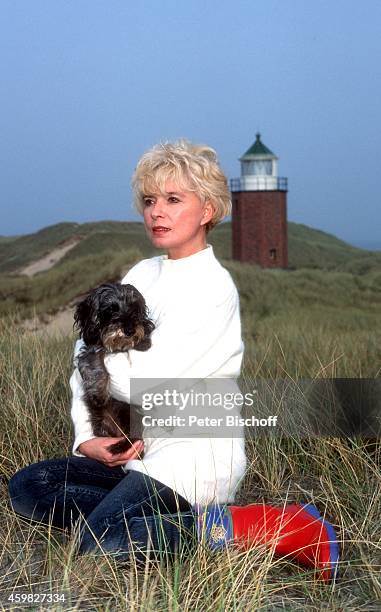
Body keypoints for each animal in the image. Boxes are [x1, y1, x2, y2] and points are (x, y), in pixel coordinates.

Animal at [73, 282, 154, 454]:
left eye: (134, 308)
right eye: (111, 309)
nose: (130, 330)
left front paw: (143, 341)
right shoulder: (89, 353)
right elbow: (96, 363)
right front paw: (98, 393)